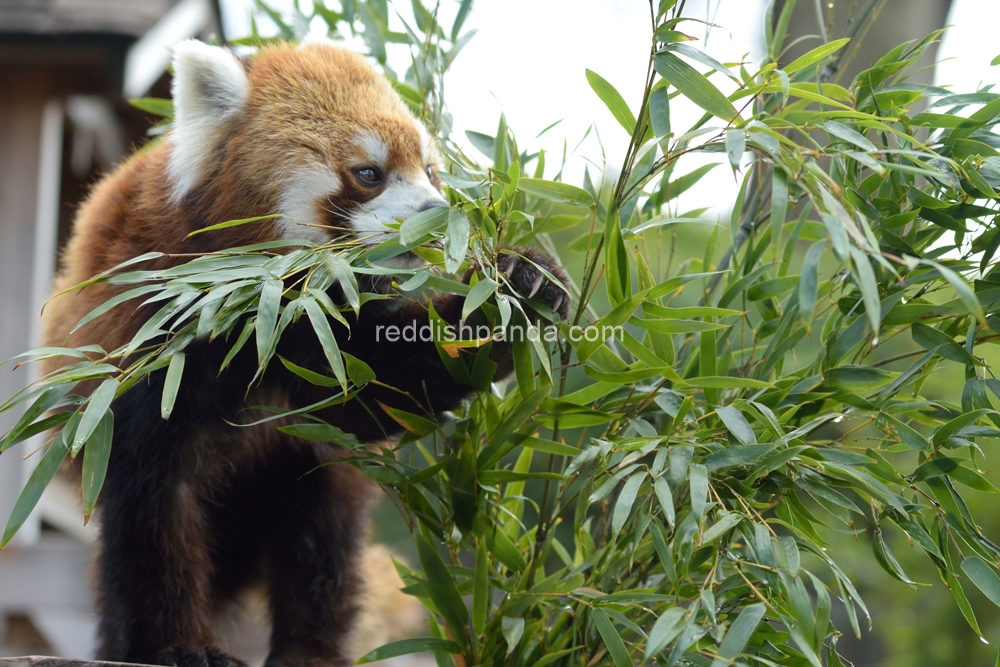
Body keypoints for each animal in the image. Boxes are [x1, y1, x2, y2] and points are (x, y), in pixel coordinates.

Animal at [41, 39, 572, 667]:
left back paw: (312, 650)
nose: (436, 216)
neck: (263, 306)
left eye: (431, 172)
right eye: (368, 173)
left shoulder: (325, 340)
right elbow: (155, 507)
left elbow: (377, 392)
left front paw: (520, 286)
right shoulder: (149, 338)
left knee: (321, 536)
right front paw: (178, 646)